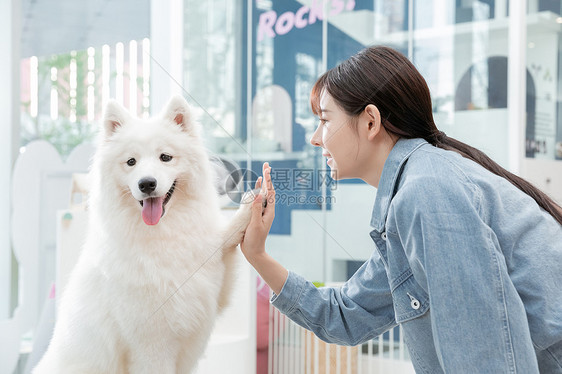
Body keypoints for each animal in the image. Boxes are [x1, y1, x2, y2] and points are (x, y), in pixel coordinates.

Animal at [31, 95, 258, 374]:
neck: (164, 234)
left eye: (165, 157)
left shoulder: (214, 289)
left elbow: (224, 239)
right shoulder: (151, 346)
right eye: (131, 162)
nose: (147, 183)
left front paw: (254, 201)